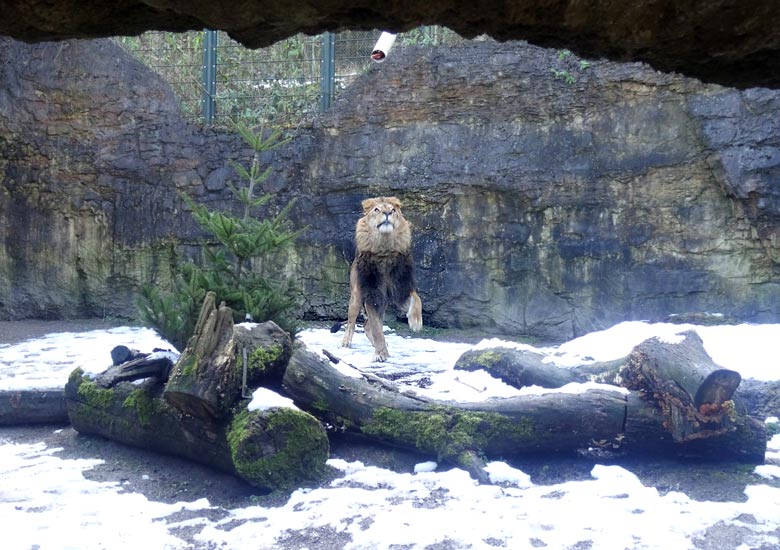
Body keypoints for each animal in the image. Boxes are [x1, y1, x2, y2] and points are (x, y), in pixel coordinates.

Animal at [342, 197, 424, 362]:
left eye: (393, 210)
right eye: (377, 209)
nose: (387, 213)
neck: (384, 249)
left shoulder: (401, 289)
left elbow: (417, 299)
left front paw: (416, 321)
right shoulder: (372, 295)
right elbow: (376, 328)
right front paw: (380, 353)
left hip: (384, 302)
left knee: (366, 325)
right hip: (356, 297)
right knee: (352, 322)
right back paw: (346, 341)